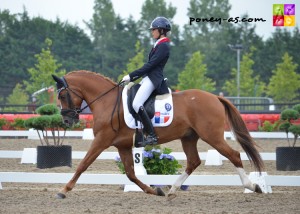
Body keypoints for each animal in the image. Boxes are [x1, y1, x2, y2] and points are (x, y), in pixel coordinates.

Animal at [52, 70, 264, 199]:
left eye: (62, 95)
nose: (67, 121)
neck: (107, 101)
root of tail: (215, 98)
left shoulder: (101, 140)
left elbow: (83, 164)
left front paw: (63, 190)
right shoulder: (122, 145)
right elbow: (131, 174)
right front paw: (154, 190)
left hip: (212, 136)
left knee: (234, 155)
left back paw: (253, 186)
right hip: (189, 137)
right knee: (193, 161)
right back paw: (172, 190)